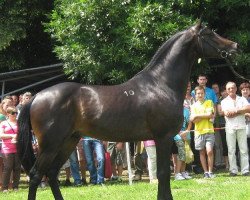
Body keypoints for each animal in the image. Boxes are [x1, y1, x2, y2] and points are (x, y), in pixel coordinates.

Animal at [17, 21, 238, 200]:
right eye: (209, 34)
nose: (235, 46)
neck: (160, 84)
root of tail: (36, 96)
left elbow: (162, 174)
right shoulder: (163, 137)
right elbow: (163, 174)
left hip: (68, 142)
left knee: (52, 174)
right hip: (50, 145)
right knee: (36, 175)